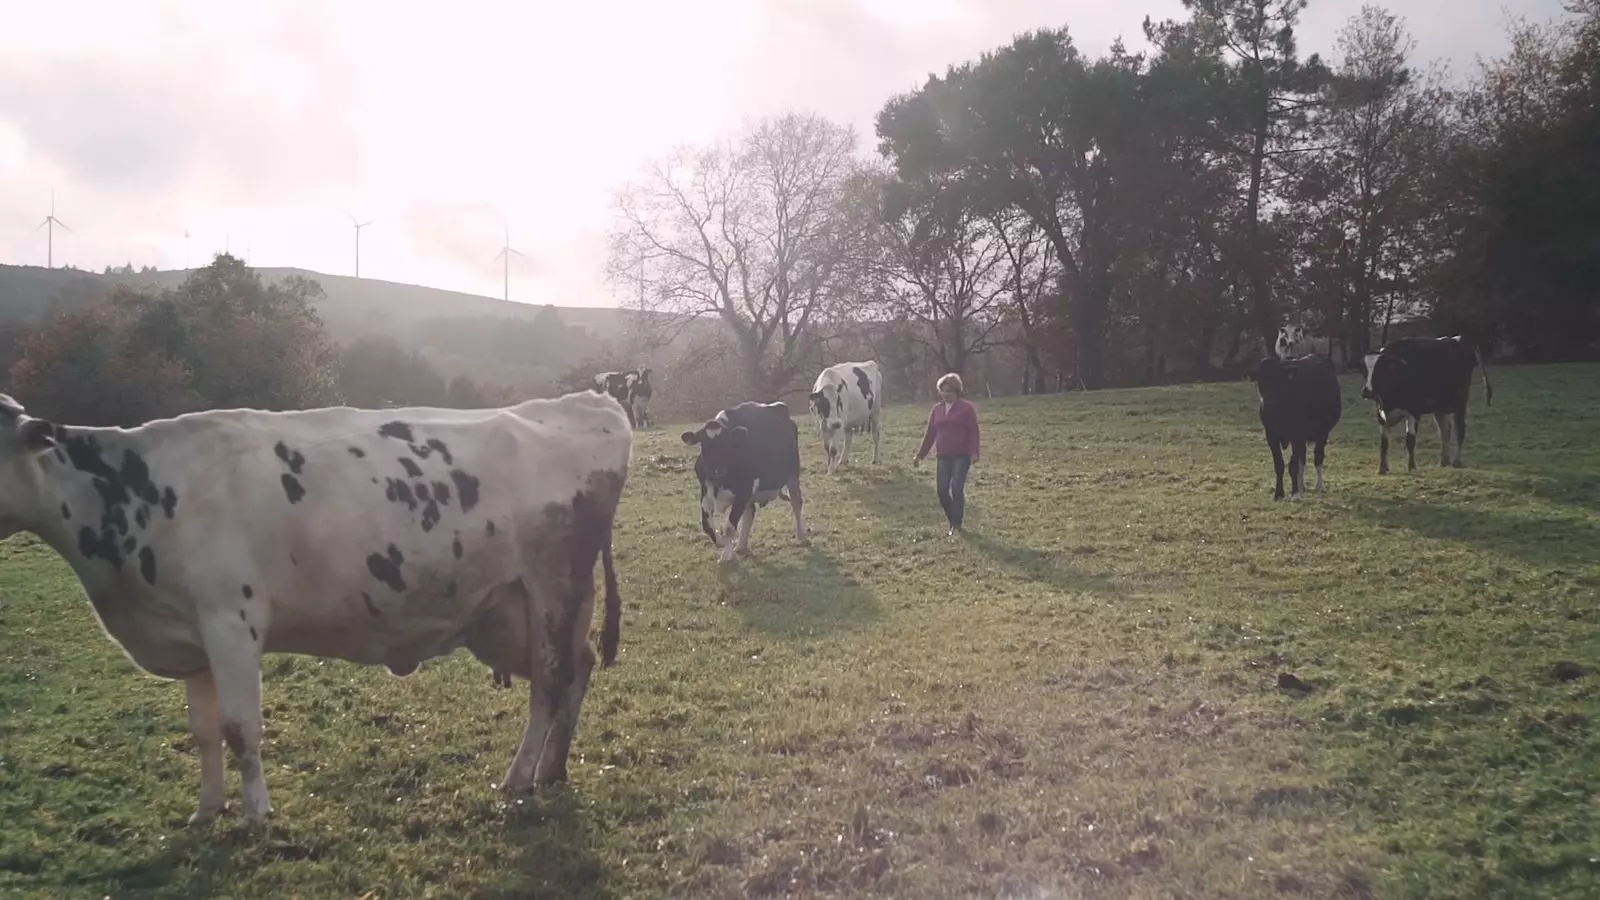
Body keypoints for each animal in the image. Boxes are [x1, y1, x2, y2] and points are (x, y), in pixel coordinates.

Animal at [0, 389, 630, 826]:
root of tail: (584, 402)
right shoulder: (192, 635)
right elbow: (203, 731)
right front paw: (206, 811)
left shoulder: (230, 621)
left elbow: (240, 727)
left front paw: (256, 814)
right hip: (523, 610)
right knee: (577, 672)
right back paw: (551, 770)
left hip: (551, 588)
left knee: (549, 684)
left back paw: (520, 776)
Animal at [684, 398, 812, 560]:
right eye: (704, 443)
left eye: (727, 443)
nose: (716, 470)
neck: (721, 482)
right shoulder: (706, 491)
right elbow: (707, 526)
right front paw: (721, 542)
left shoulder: (743, 491)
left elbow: (729, 528)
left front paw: (725, 555)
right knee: (750, 512)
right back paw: (741, 545)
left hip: (792, 475)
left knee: (796, 502)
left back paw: (801, 536)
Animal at [1254, 353, 1344, 499]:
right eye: (1260, 382)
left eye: (1279, 382)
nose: (1267, 404)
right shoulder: (1271, 436)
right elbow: (1279, 465)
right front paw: (1279, 493)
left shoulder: (1297, 436)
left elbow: (1293, 466)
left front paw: (1295, 493)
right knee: (1303, 459)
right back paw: (1301, 486)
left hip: (1322, 434)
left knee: (1318, 458)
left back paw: (1319, 486)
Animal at [1356, 329, 1491, 470]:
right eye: (1364, 370)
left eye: (1381, 369)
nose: (1366, 391)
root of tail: (1460, 338)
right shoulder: (1381, 413)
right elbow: (1384, 443)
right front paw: (1382, 468)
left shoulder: (1414, 411)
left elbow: (1410, 440)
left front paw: (1411, 466)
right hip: (1439, 407)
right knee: (1445, 430)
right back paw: (1444, 460)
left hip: (1460, 401)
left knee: (1459, 430)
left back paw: (1456, 461)